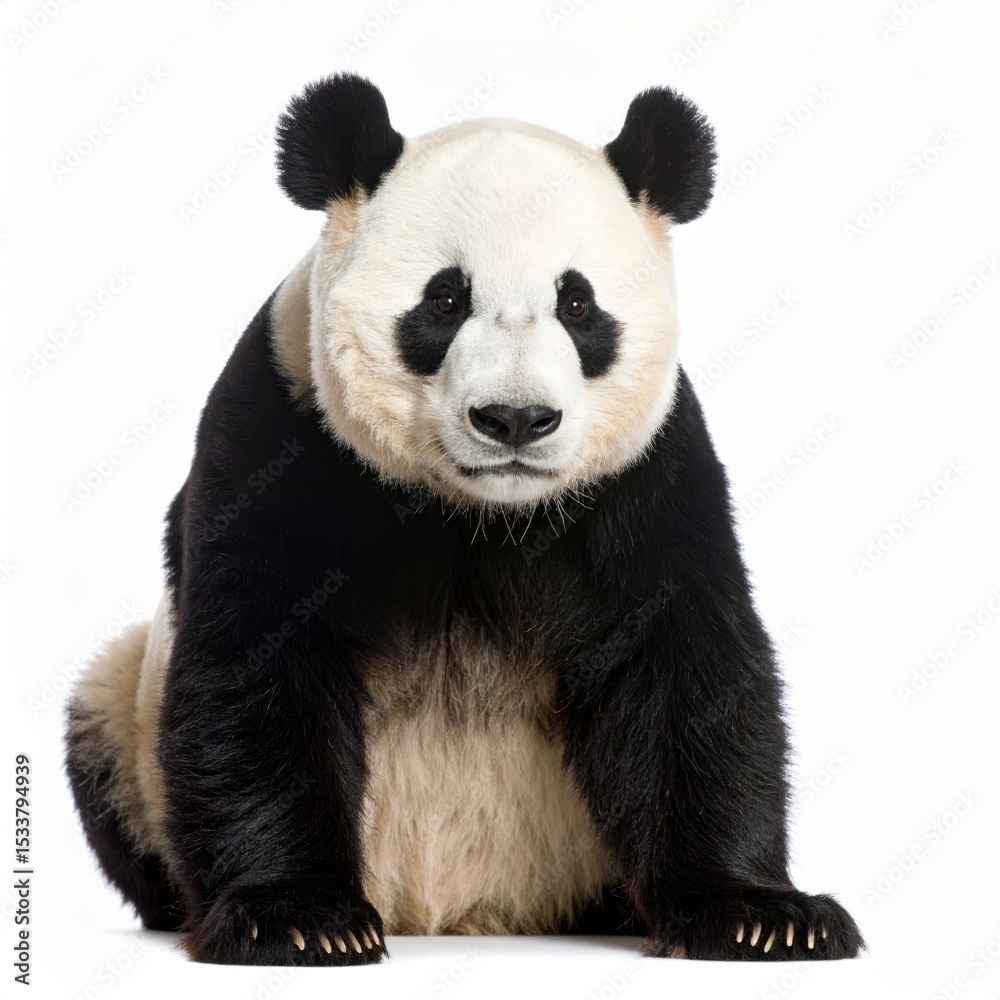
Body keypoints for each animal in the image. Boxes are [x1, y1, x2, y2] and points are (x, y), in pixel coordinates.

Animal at [64, 73, 864, 966]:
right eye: (445, 299)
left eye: (577, 303)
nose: (514, 419)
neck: (480, 516)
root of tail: (455, 912)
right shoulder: (283, 437)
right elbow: (258, 661)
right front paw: (298, 919)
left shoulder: (647, 476)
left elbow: (683, 669)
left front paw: (762, 915)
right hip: (126, 717)